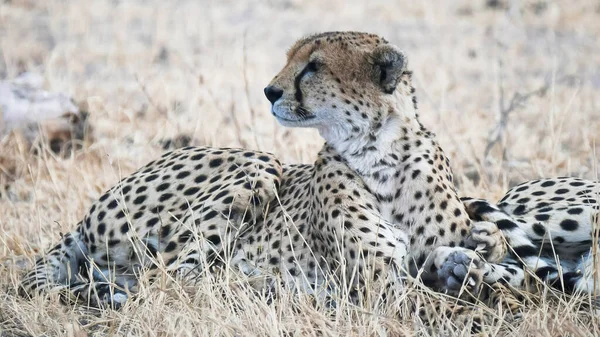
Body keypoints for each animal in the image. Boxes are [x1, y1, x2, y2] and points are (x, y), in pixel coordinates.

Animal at [19, 31, 600, 308]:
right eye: (290, 59)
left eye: (313, 66)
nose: (269, 91)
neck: (381, 153)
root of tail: (83, 217)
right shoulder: (379, 282)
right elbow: (444, 303)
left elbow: (476, 266)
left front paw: (464, 267)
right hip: (259, 163)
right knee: (173, 281)